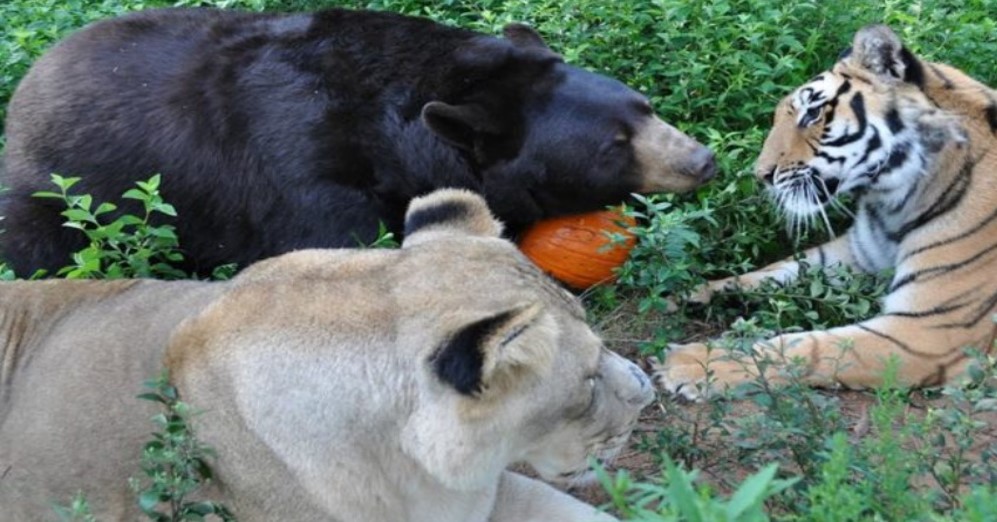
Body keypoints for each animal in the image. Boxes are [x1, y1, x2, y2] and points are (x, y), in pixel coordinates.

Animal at [1, 8, 716, 274]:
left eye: (644, 107)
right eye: (613, 143)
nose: (701, 160)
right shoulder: (301, 165)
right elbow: (333, 243)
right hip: (56, 195)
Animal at [652, 24, 996, 398]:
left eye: (813, 114)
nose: (761, 175)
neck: (893, 203)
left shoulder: (929, 330)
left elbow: (805, 348)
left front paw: (693, 363)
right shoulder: (857, 255)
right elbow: (772, 271)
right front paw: (686, 293)